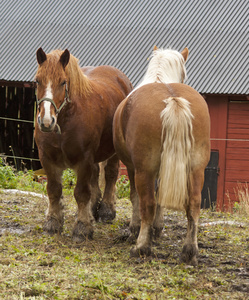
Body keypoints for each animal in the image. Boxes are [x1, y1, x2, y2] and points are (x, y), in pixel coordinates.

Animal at [34, 48, 133, 243]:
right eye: (37, 80)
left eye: (63, 82)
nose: (47, 121)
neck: (64, 123)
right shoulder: (47, 158)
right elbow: (54, 190)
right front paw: (53, 223)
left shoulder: (84, 159)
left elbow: (81, 193)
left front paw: (82, 228)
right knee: (95, 176)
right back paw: (93, 208)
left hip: (114, 152)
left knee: (110, 175)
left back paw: (106, 210)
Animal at [113, 46, 210, 264]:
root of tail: (172, 98)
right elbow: (161, 198)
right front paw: (157, 229)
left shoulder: (133, 167)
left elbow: (137, 198)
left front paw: (136, 229)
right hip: (196, 169)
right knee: (193, 204)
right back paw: (189, 251)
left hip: (144, 171)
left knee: (147, 202)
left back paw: (141, 247)